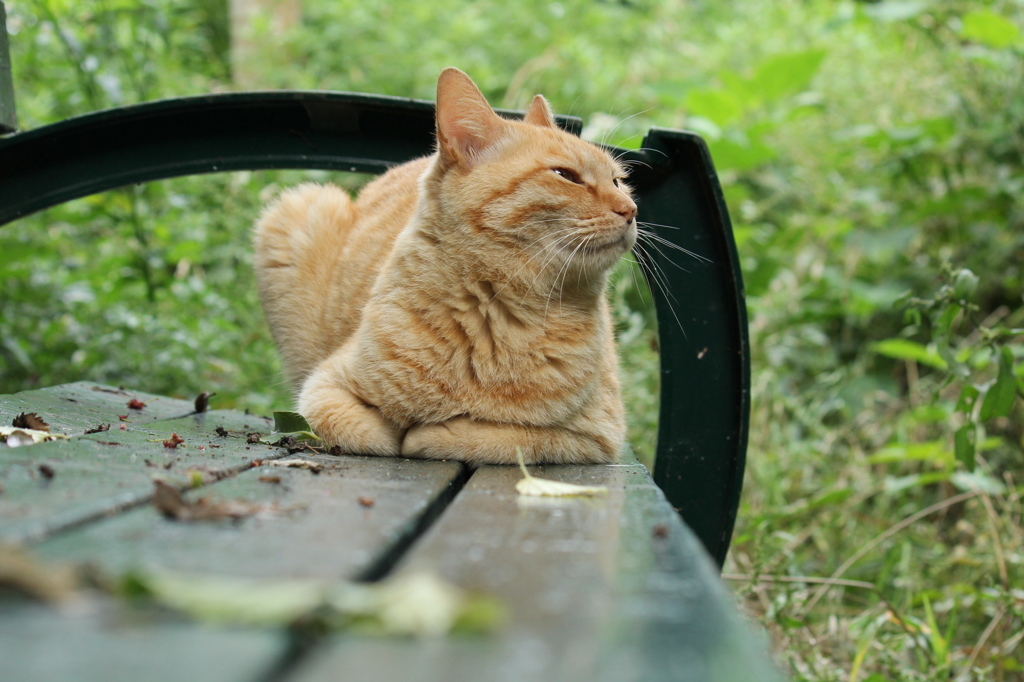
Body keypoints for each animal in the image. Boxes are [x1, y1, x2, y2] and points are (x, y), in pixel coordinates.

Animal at [252, 67, 634, 462]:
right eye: (566, 176)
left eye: (619, 181)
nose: (631, 209)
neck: (497, 318)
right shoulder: (323, 389)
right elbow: (375, 437)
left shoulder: (595, 437)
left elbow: (493, 436)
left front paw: (433, 430)